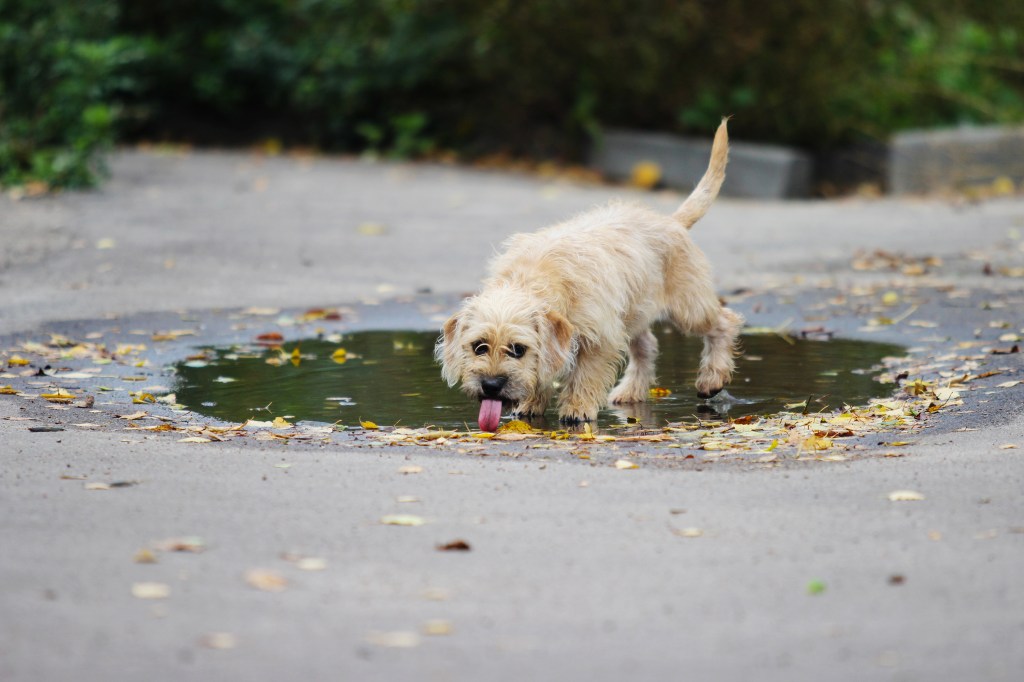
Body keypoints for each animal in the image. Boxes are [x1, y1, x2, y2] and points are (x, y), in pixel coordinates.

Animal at [436, 116, 741, 425]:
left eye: (518, 350)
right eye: (479, 346)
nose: (491, 386)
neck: (534, 277)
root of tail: (671, 221)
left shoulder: (600, 337)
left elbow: (585, 374)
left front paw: (577, 408)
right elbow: (544, 370)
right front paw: (532, 403)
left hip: (687, 308)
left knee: (725, 321)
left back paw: (712, 377)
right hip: (633, 312)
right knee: (647, 346)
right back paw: (631, 390)